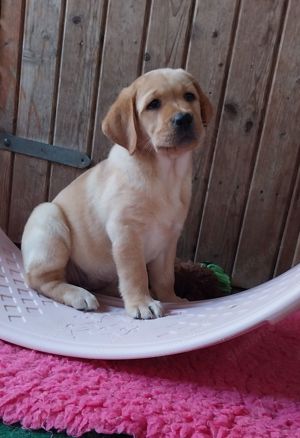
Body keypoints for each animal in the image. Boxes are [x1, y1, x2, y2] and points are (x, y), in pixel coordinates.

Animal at [21, 69, 213, 322]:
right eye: (153, 104)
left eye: (189, 96)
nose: (184, 118)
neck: (165, 173)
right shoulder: (126, 233)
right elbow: (135, 273)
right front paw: (142, 303)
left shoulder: (168, 239)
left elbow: (165, 278)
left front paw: (172, 299)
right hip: (48, 218)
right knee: (40, 280)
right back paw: (79, 294)